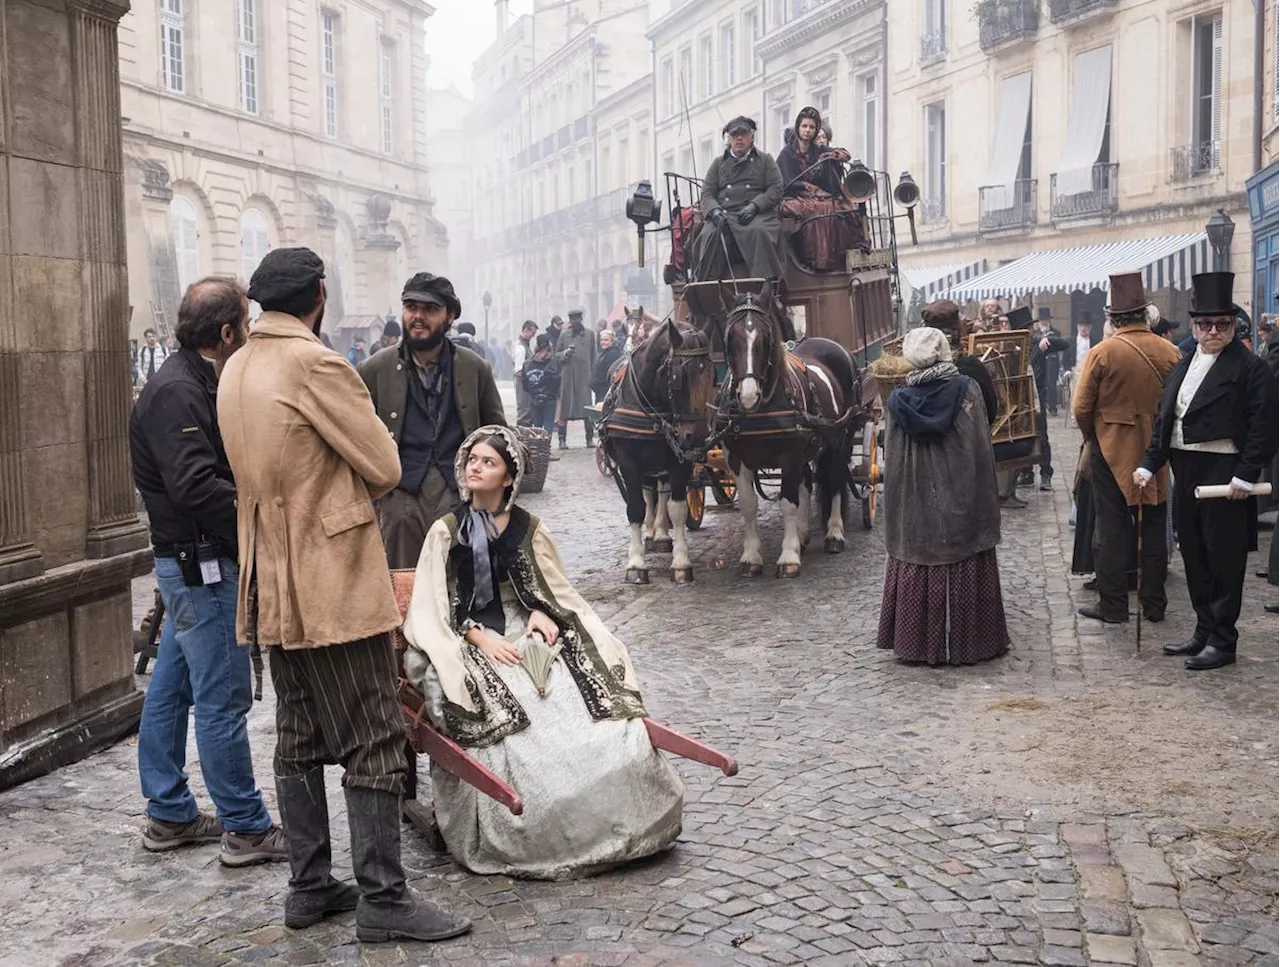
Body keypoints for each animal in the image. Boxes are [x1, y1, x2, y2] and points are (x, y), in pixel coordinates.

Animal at [716, 290, 855, 578]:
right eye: (730, 337)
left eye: (766, 337)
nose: (748, 395)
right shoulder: (736, 460)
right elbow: (749, 505)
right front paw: (751, 557)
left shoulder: (789, 456)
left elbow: (788, 502)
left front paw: (788, 557)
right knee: (807, 482)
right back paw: (803, 535)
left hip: (840, 440)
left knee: (836, 479)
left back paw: (834, 533)